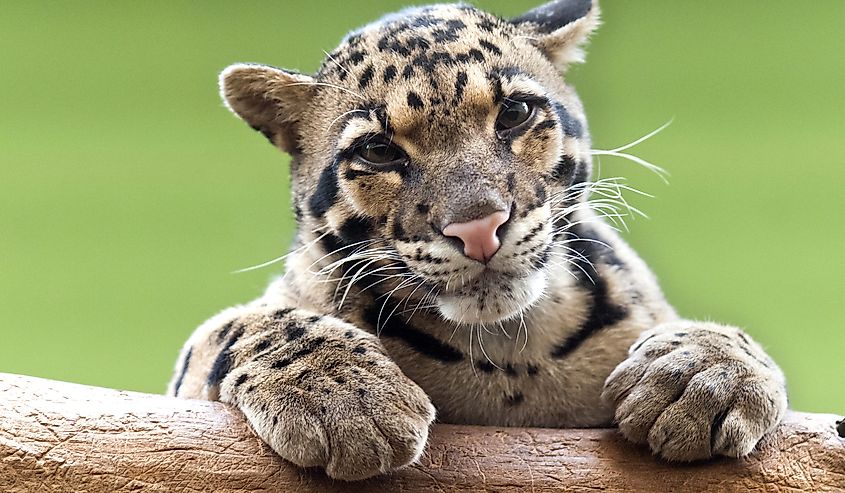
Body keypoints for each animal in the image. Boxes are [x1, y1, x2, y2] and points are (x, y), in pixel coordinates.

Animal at [168, 0, 787, 481]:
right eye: (378, 151)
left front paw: (703, 372)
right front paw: (343, 396)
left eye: (514, 113)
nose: (477, 227)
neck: (510, 354)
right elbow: (244, 324)